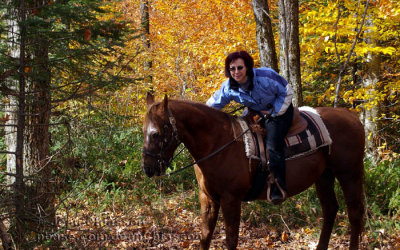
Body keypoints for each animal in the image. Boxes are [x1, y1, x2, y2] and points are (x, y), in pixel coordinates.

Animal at [141, 94, 366, 250]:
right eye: (143, 131)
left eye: (156, 133)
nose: (148, 168)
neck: (218, 142)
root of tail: (352, 117)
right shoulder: (208, 198)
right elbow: (205, 237)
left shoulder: (231, 199)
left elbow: (231, 240)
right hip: (324, 176)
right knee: (330, 210)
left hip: (350, 174)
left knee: (355, 213)